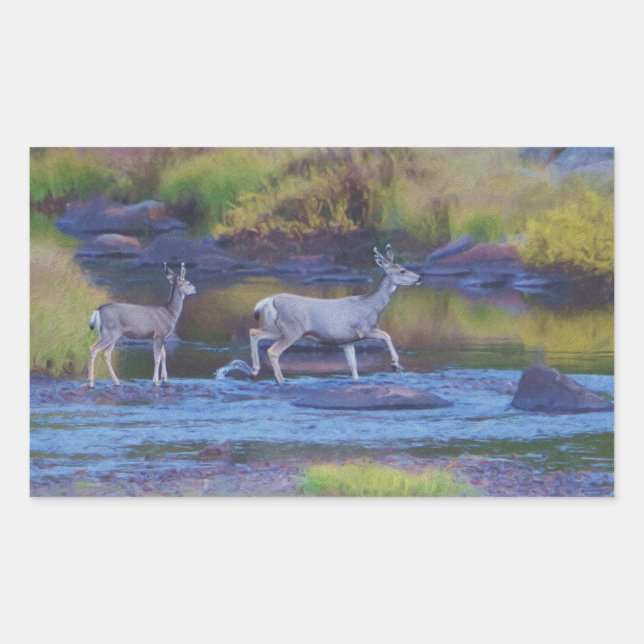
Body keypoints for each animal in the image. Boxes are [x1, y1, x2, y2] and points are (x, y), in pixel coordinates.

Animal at [249, 245, 421, 384]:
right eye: (402, 270)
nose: (419, 278)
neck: (371, 306)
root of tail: (270, 300)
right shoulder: (363, 329)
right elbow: (387, 335)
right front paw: (395, 364)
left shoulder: (347, 340)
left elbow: (353, 365)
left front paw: (356, 380)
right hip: (292, 330)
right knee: (272, 351)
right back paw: (280, 380)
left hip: (277, 328)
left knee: (254, 332)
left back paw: (255, 371)